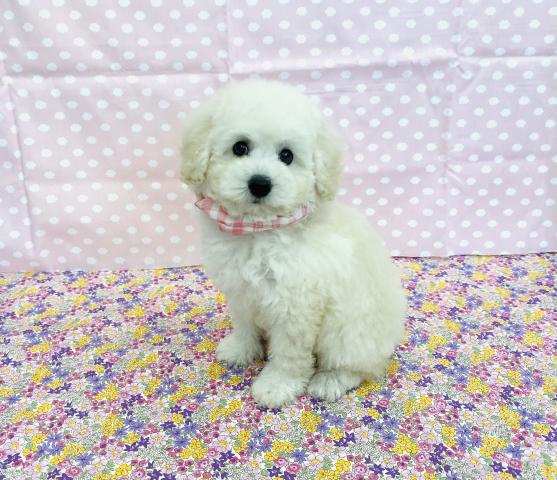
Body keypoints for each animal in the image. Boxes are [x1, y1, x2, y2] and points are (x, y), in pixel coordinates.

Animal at [179, 80, 407, 408]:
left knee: (359, 366)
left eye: (286, 155)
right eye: (240, 147)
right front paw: (240, 349)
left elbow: (289, 354)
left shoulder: (296, 306)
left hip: (349, 332)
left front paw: (276, 386)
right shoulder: (241, 292)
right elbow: (244, 323)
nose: (260, 183)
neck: (260, 230)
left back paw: (329, 381)